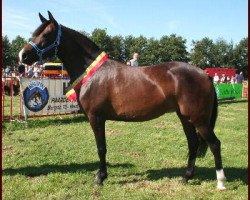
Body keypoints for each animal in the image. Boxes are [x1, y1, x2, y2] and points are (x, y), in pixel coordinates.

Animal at [19, 11, 227, 190]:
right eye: (35, 33)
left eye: (46, 34)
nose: (23, 55)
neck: (93, 73)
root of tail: (204, 74)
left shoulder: (96, 118)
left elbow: (101, 148)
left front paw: (100, 178)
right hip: (186, 118)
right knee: (193, 144)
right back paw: (186, 177)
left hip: (199, 119)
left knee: (215, 144)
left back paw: (220, 182)